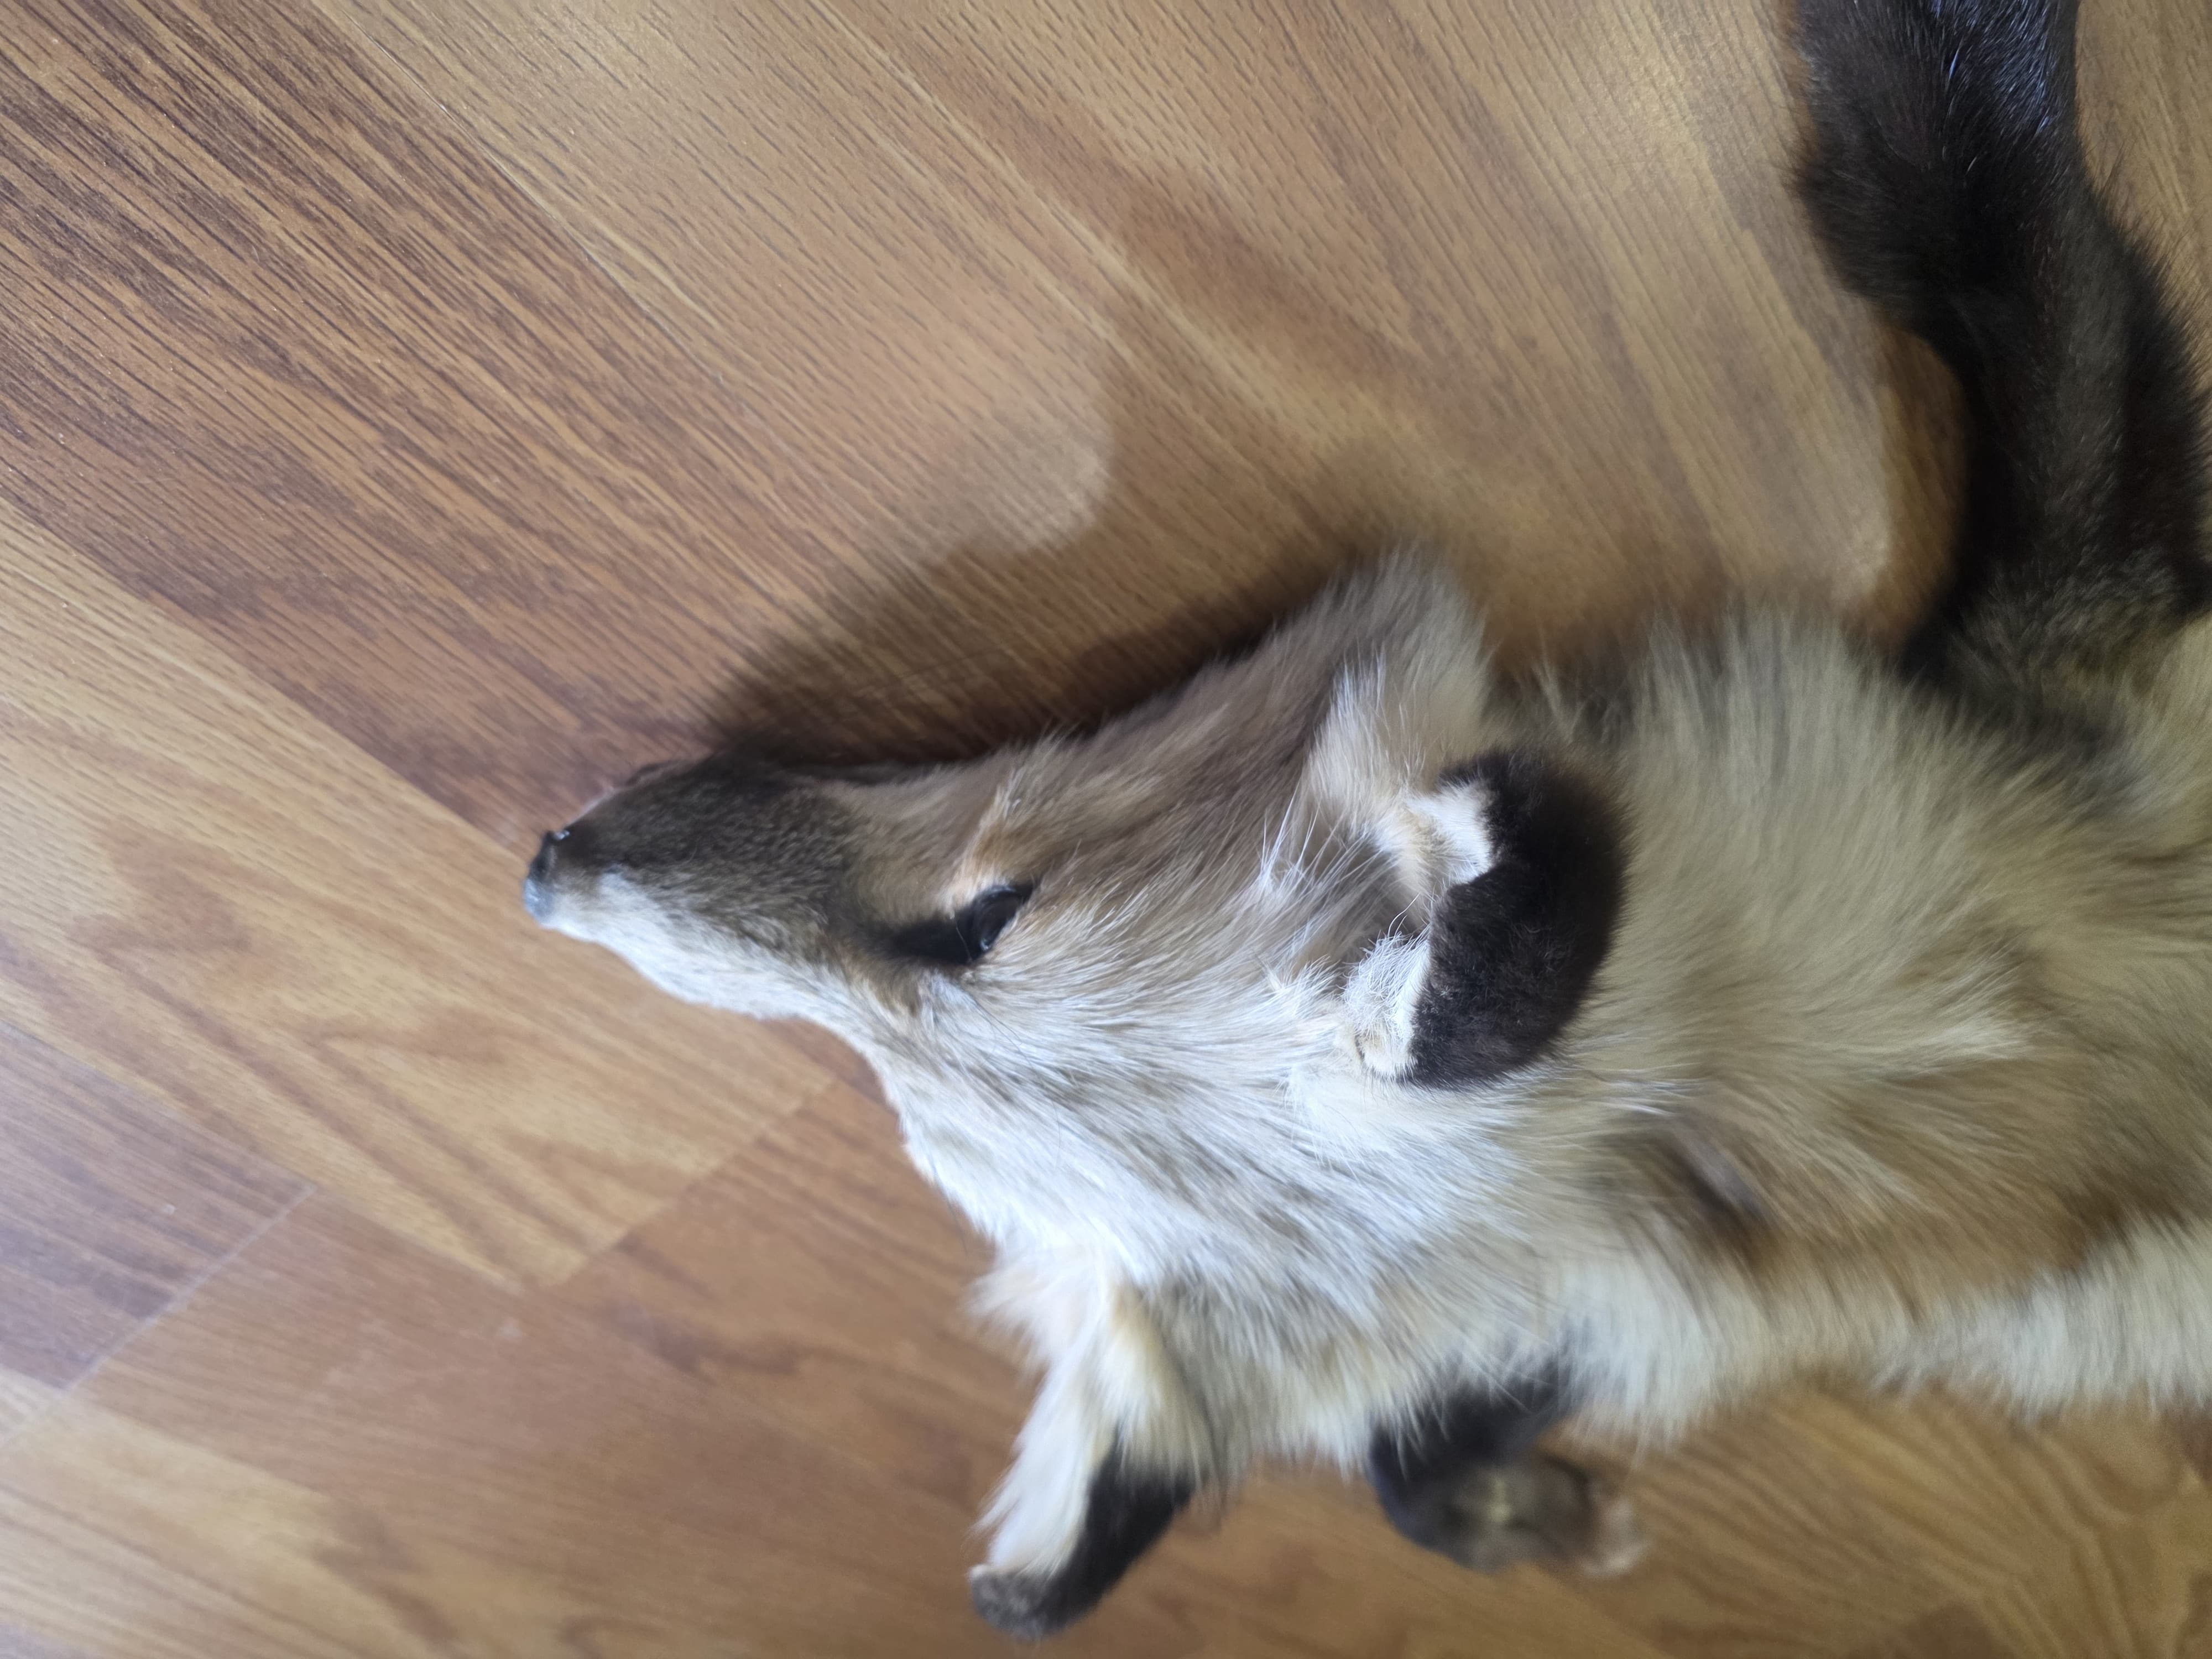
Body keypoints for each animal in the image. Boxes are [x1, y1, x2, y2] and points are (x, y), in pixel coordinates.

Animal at [522, 0, 2211, 1639]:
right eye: (925, 1132)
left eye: (980, 921)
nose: (549, 872)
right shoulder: (1650, 1275)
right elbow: (1420, 1447)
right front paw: (1504, 1506)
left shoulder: (2089, 592)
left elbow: (1976, 168)